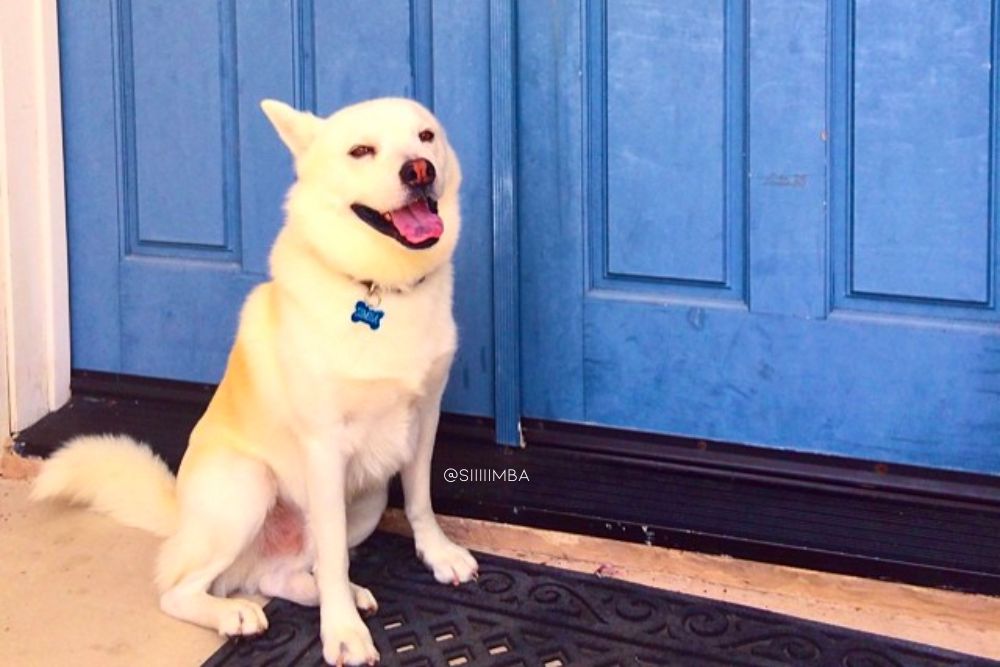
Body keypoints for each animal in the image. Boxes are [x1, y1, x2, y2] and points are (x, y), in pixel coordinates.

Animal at [33, 96, 478, 664]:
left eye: (425, 137)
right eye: (361, 150)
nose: (419, 171)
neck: (380, 288)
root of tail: (181, 516)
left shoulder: (423, 420)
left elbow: (420, 501)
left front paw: (437, 555)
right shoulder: (324, 448)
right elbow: (334, 556)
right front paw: (344, 633)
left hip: (369, 496)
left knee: (284, 574)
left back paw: (329, 591)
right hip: (249, 484)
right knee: (179, 588)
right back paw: (236, 614)